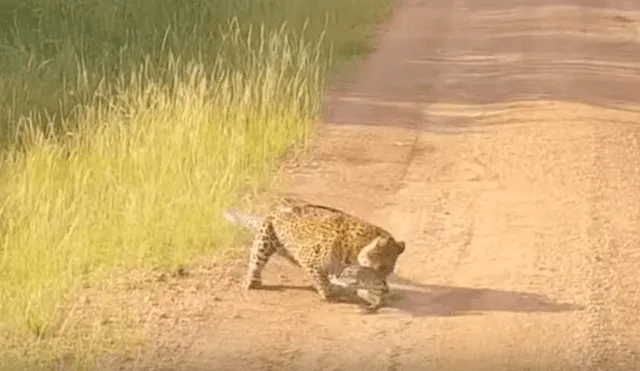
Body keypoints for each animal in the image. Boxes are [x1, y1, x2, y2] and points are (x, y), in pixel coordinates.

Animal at [224, 196, 404, 304]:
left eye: (388, 271)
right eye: (381, 268)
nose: (384, 287)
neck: (355, 248)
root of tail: (283, 201)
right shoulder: (310, 261)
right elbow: (322, 280)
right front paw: (329, 293)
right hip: (265, 238)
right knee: (256, 259)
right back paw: (252, 281)